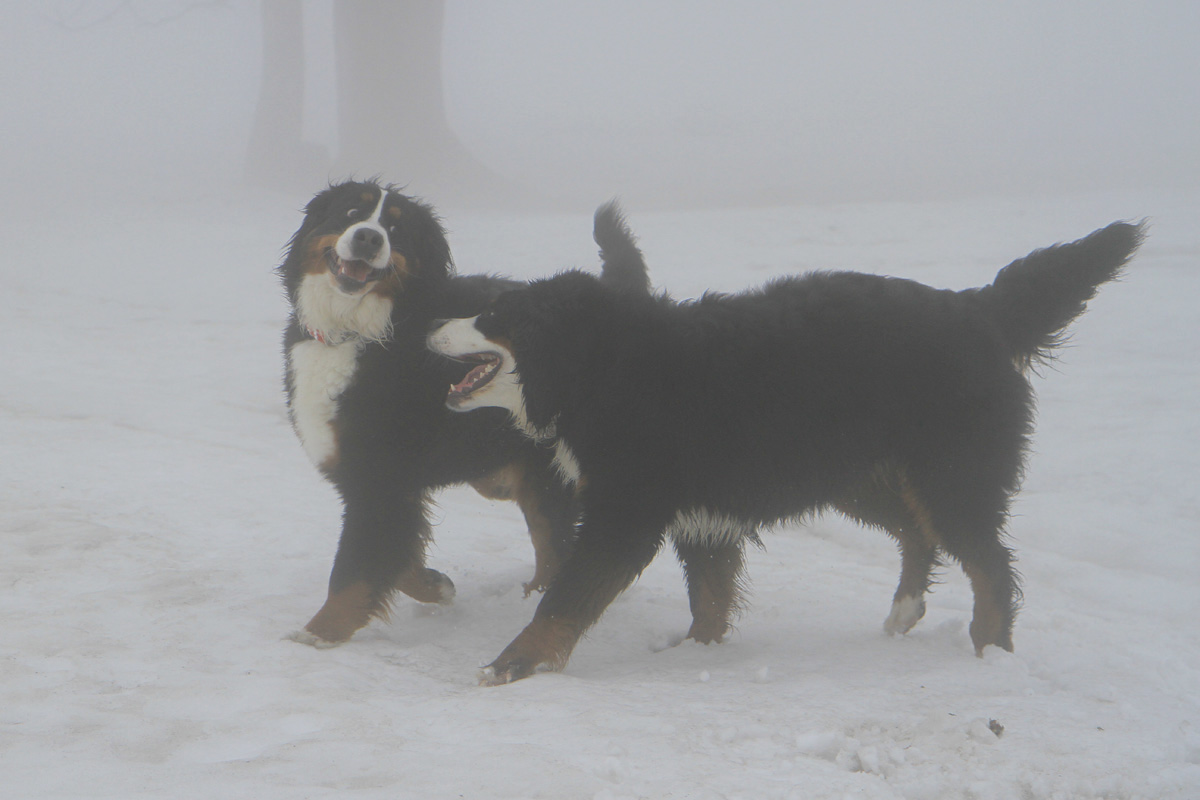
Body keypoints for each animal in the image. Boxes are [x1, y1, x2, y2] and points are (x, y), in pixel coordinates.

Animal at [279, 179, 648, 642]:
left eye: (395, 229)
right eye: (351, 213)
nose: (368, 238)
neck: (364, 332)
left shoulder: (378, 478)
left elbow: (355, 568)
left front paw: (318, 634)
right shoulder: (377, 480)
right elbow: (396, 555)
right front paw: (435, 584)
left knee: (554, 544)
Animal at [429, 220, 1142, 690]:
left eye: (494, 315)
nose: (429, 327)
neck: (606, 368)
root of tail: (978, 308)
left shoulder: (624, 517)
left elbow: (564, 601)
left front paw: (510, 665)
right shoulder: (701, 519)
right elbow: (710, 601)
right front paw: (698, 657)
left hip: (950, 478)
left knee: (992, 566)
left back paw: (988, 652)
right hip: (862, 475)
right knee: (920, 534)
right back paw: (904, 611)